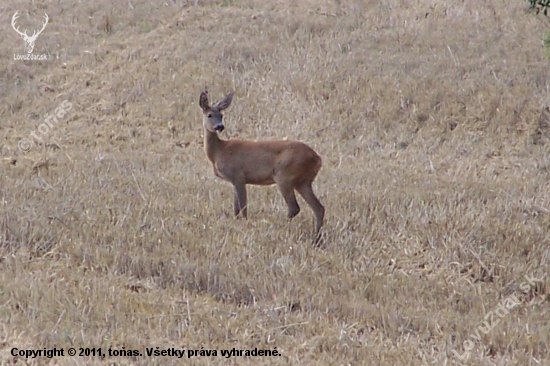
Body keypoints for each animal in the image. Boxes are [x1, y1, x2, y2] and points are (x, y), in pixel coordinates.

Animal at [199, 90, 326, 242]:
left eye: (221, 115)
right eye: (209, 115)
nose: (220, 126)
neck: (219, 151)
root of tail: (317, 158)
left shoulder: (238, 175)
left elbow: (243, 208)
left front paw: (245, 226)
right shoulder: (235, 180)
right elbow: (236, 209)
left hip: (284, 175)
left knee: (294, 207)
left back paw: (276, 228)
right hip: (303, 181)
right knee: (319, 208)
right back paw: (316, 238)